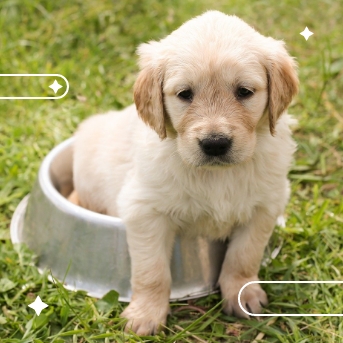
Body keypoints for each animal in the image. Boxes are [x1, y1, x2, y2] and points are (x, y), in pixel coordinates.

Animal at [71, 10, 300, 336]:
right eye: (184, 94)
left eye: (244, 92)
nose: (215, 143)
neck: (218, 175)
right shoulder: (144, 210)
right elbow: (152, 271)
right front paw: (145, 315)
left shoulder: (265, 206)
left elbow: (244, 256)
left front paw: (242, 294)